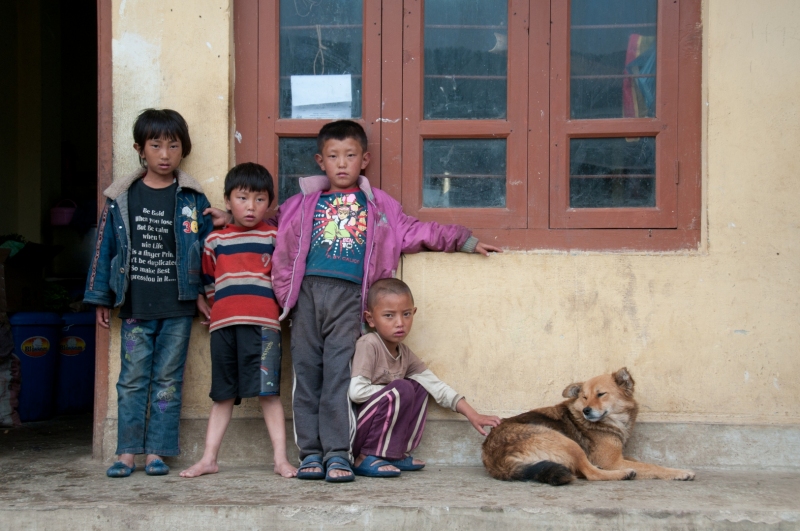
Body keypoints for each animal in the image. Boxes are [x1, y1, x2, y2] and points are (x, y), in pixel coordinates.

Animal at [482, 370, 692, 486]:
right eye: (584, 396)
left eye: (600, 394)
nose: (586, 411)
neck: (613, 421)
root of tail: (494, 458)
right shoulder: (612, 461)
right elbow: (651, 466)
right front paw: (680, 473)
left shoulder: (619, 456)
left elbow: (644, 462)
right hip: (564, 440)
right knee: (591, 474)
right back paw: (624, 474)